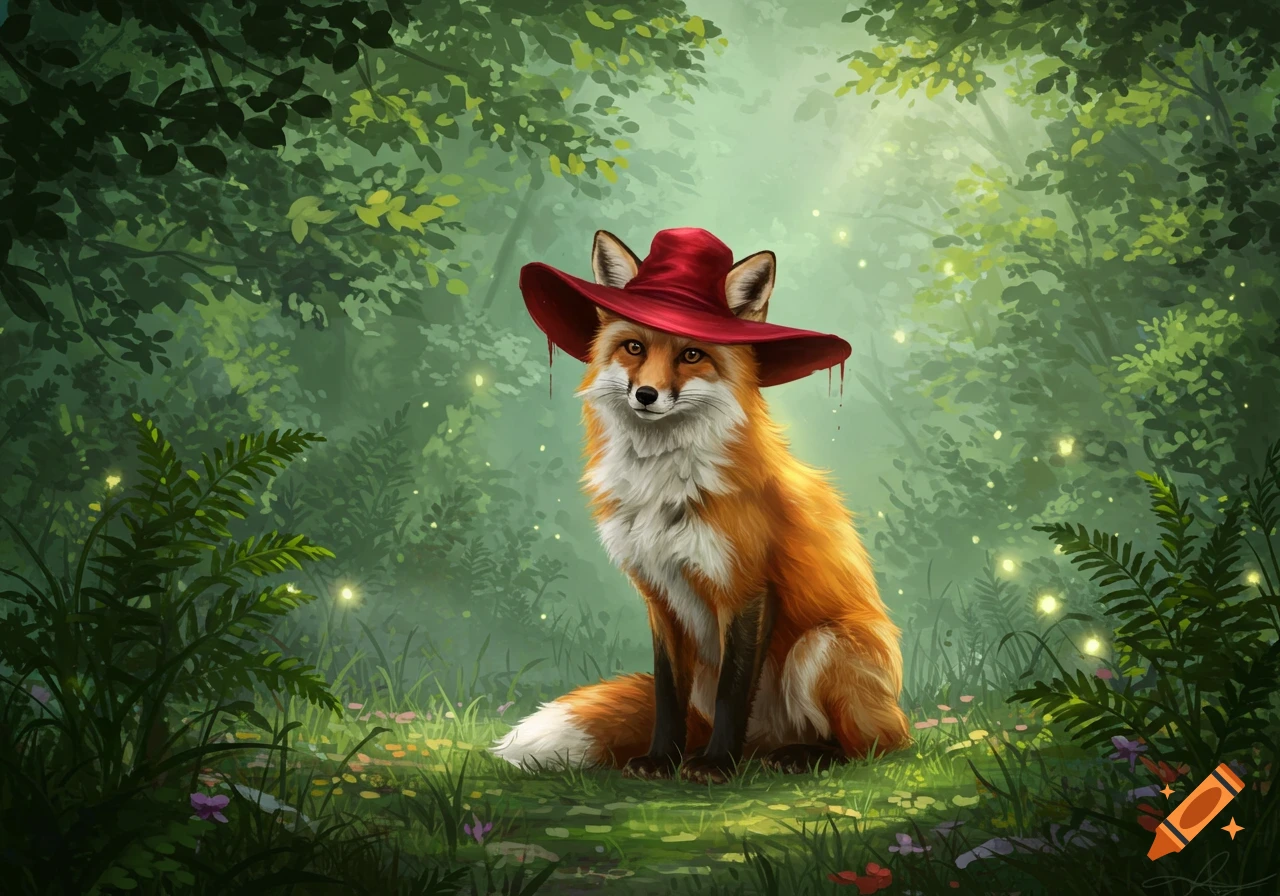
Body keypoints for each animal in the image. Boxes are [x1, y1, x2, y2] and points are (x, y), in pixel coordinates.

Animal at [491, 230, 911, 784]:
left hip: (819, 648)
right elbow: (668, 693)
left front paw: (714, 766)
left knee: (875, 745)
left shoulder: (746, 588)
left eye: (691, 355)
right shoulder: (659, 595)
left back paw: (796, 756)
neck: (664, 490)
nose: (646, 395)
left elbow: (735, 688)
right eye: (634, 347)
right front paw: (661, 759)